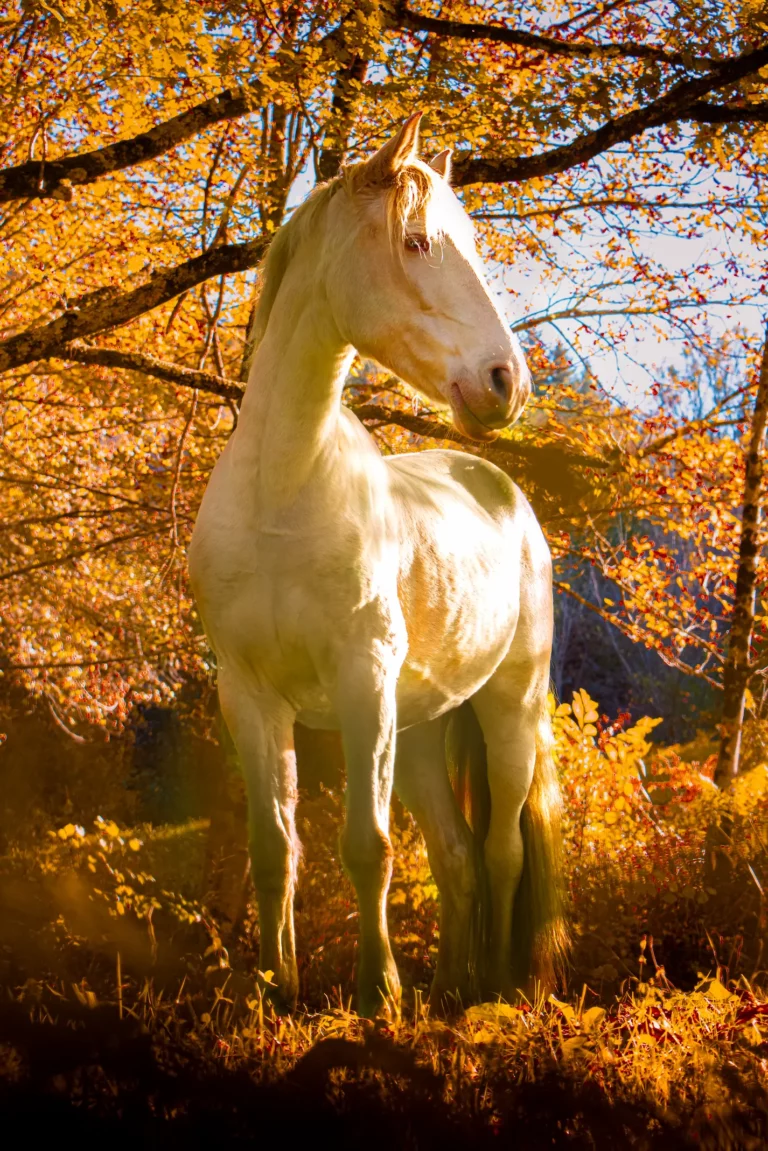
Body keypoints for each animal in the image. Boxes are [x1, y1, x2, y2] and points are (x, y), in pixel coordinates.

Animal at [188, 113, 567, 1017]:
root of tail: (501, 488)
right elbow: (273, 847)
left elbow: (367, 846)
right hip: (424, 728)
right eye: (418, 240)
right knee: (458, 857)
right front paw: (274, 988)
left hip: (507, 709)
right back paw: (450, 984)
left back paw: (490, 990)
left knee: (499, 851)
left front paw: (376, 995)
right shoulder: (249, 695)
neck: (281, 494)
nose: (505, 382)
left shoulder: (363, 684)